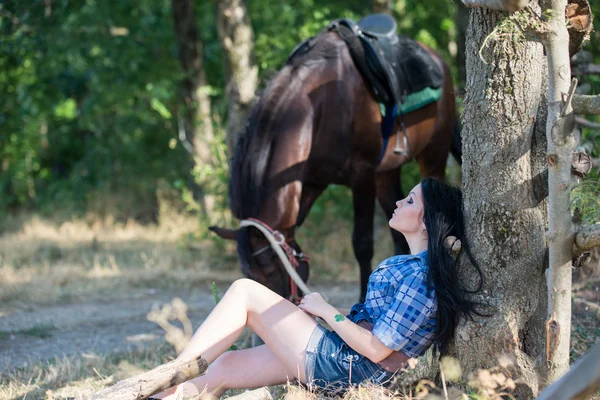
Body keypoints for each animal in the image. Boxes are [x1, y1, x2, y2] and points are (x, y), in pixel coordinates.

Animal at [209, 29, 458, 302]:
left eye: (272, 271)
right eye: (249, 275)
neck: (319, 108)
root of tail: (438, 59)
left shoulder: (362, 176)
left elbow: (362, 244)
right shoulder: (312, 181)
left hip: (433, 154)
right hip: (387, 173)